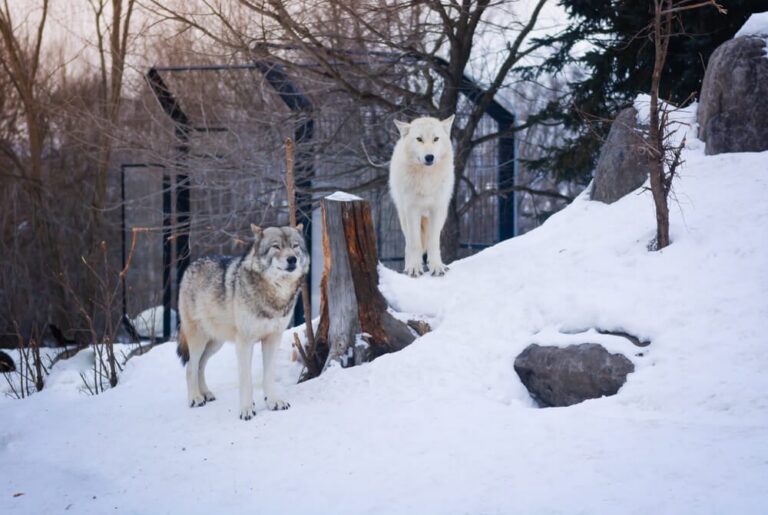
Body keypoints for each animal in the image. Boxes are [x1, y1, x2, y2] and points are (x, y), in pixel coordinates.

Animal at [176, 224, 309, 420]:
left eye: (295, 246)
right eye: (276, 247)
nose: (292, 259)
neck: (274, 294)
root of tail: (189, 267)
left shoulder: (272, 338)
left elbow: (268, 375)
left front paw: (274, 401)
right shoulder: (244, 343)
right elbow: (246, 380)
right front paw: (247, 409)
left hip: (215, 343)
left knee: (200, 365)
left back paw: (206, 393)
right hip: (199, 340)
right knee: (190, 367)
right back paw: (195, 398)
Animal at [389, 115, 455, 277]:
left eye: (436, 139)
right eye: (419, 139)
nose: (429, 157)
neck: (427, 179)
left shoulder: (437, 210)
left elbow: (433, 242)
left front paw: (437, 267)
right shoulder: (412, 210)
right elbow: (414, 244)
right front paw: (414, 268)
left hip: (440, 215)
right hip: (404, 217)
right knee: (409, 243)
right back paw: (409, 266)